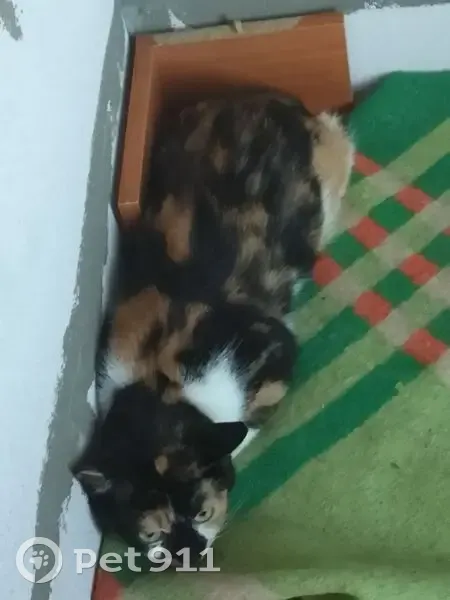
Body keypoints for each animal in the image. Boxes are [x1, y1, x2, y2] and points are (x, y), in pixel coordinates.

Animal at [72, 89, 353, 564]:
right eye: (151, 536)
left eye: (203, 512)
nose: (191, 553)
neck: (161, 383)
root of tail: (263, 96)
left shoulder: (274, 348)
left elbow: (249, 422)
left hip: (330, 162)